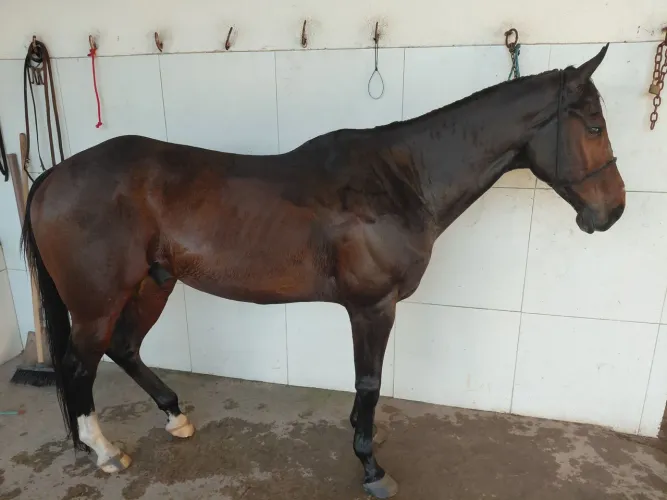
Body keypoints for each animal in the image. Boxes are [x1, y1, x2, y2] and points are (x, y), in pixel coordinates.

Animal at [21, 43, 624, 499]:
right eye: (594, 125)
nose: (613, 211)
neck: (402, 179)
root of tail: (53, 176)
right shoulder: (373, 308)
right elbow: (370, 384)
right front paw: (371, 467)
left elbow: (365, 387)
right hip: (97, 303)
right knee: (78, 366)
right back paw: (104, 451)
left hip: (152, 285)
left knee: (124, 349)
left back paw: (175, 417)